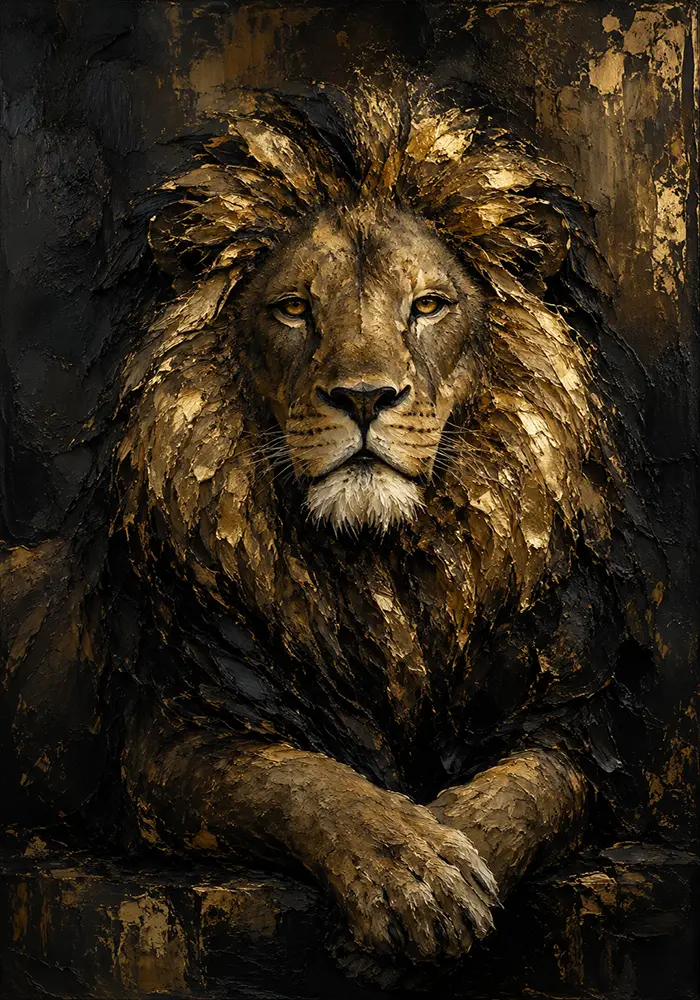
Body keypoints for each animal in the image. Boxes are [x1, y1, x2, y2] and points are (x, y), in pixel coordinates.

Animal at [1, 77, 641, 975]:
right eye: (296, 310)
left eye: (428, 306)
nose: (364, 397)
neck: (378, 567)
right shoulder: (175, 735)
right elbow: (301, 782)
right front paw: (412, 869)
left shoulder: (570, 728)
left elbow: (522, 798)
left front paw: (452, 857)